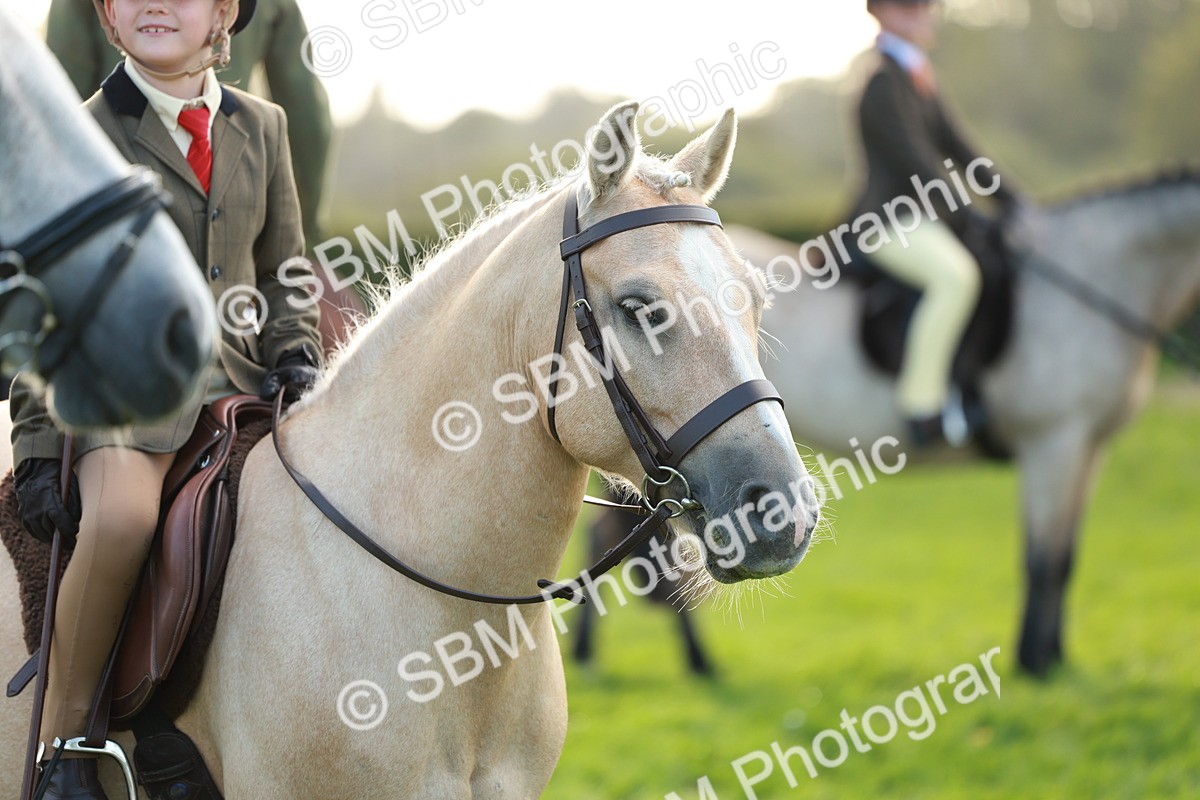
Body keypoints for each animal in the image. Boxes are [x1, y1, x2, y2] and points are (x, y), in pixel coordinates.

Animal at [728, 173, 1200, 675]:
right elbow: (1042, 560)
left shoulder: (1092, 445)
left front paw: (1055, 660)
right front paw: (1034, 664)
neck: (1101, 275)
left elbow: (1066, 557)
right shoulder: (1054, 441)